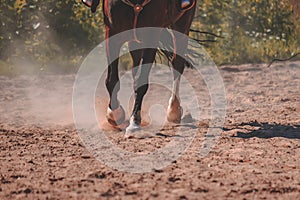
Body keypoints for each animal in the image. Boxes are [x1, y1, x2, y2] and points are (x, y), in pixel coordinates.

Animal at [91, 0, 196, 136]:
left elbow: (141, 83)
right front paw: (114, 113)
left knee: (177, 63)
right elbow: (111, 80)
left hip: (183, 22)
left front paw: (134, 122)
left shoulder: (151, 36)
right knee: (135, 69)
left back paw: (174, 110)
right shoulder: (112, 32)